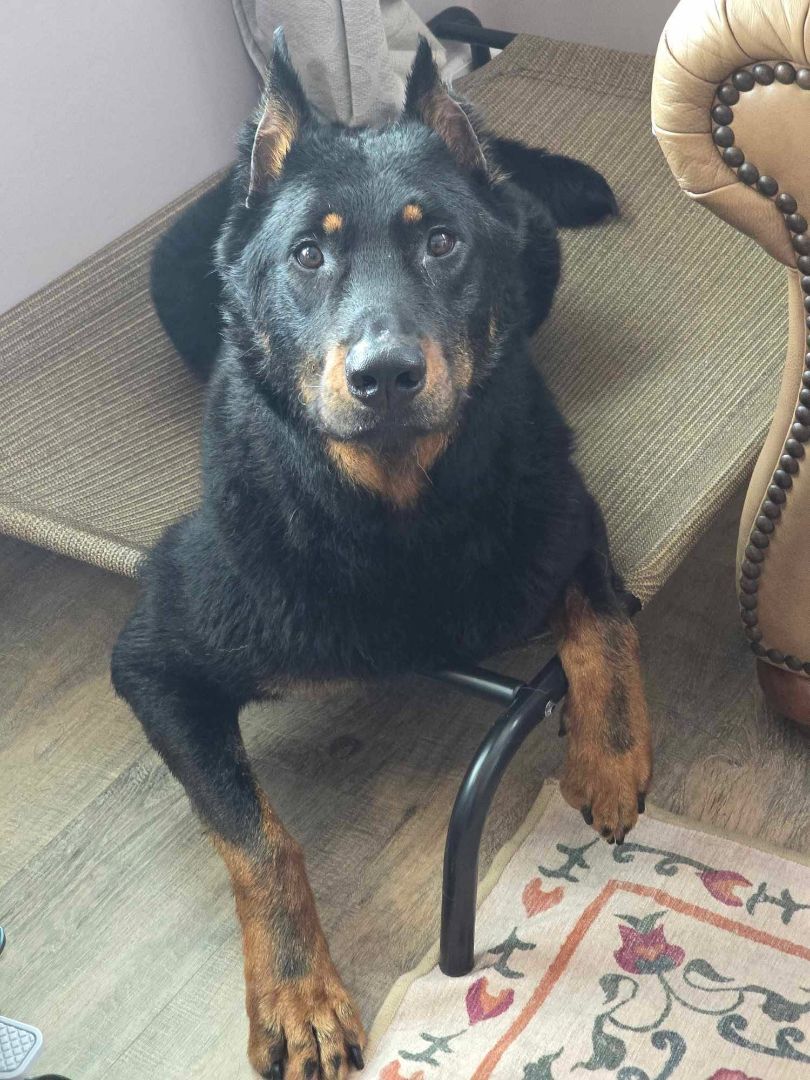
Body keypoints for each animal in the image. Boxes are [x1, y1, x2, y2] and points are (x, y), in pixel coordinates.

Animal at [112, 32, 652, 1079]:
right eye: (308, 255)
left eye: (441, 242)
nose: (386, 374)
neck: (398, 513)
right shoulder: (153, 656)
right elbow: (260, 837)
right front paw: (298, 995)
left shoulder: (567, 514)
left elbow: (603, 619)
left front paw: (610, 753)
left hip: (540, 248)